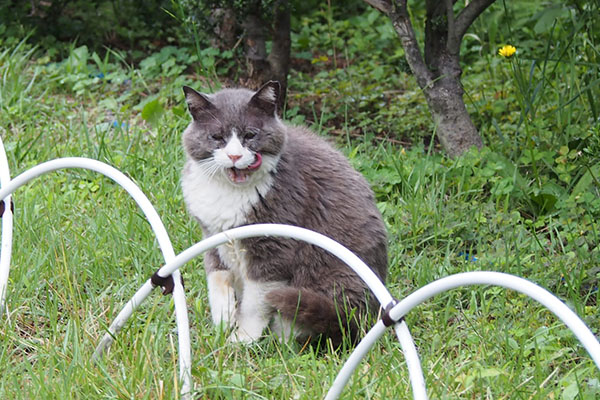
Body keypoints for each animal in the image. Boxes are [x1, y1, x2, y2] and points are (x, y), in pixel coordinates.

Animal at [180, 82, 386, 346]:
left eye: (250, 135)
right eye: (217, 137)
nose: (235, 156)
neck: (229, 192)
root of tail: (366, 319)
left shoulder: (273, 249)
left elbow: (255, 302)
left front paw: (242, 338)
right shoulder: (212, 236)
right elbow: (216, 280)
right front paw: (223, 320)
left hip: (334, 280)